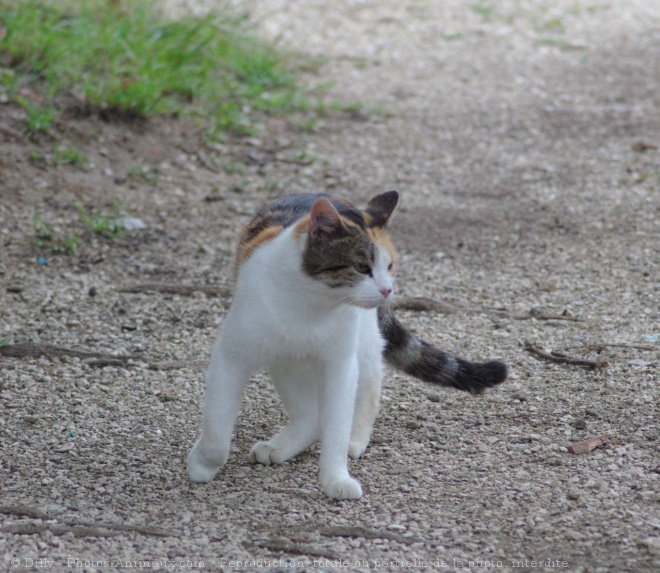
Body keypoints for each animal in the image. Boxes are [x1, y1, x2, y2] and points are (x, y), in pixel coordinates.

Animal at [188, 191, 508, 496]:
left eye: (389, 265)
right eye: (361, 267)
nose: (388, 290)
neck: (309, 305)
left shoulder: (340, 365)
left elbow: (337, 424)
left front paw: (335, 479)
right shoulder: (231, 356)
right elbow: (217, 430)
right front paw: (202, 466)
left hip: (362, 339)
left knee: (369, 383)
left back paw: (355, 438)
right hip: (285, 360)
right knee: (310, 417)